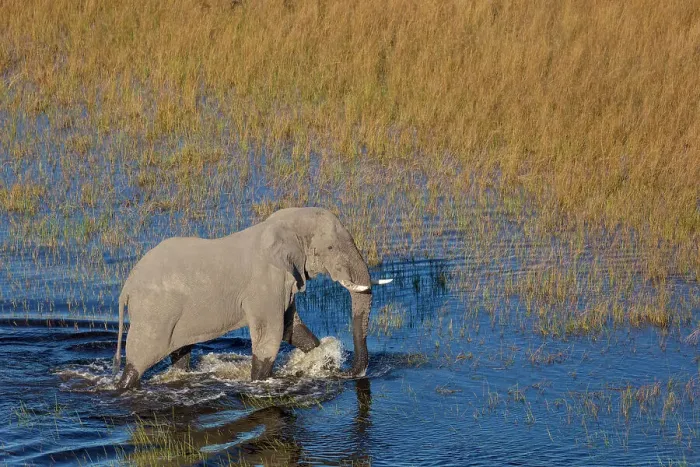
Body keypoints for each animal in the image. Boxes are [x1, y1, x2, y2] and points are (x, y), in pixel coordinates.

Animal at [113, 207, 390, 389]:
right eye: (331, 248)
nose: (350, 374)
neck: (278, 225)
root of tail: (127, 288)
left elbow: (290, 328)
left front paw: (322, 361)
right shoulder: (265, 283)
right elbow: (271, 333)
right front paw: (258, 382)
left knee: (180, 353)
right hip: (154, 313)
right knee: (139, 358)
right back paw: (124, 386)